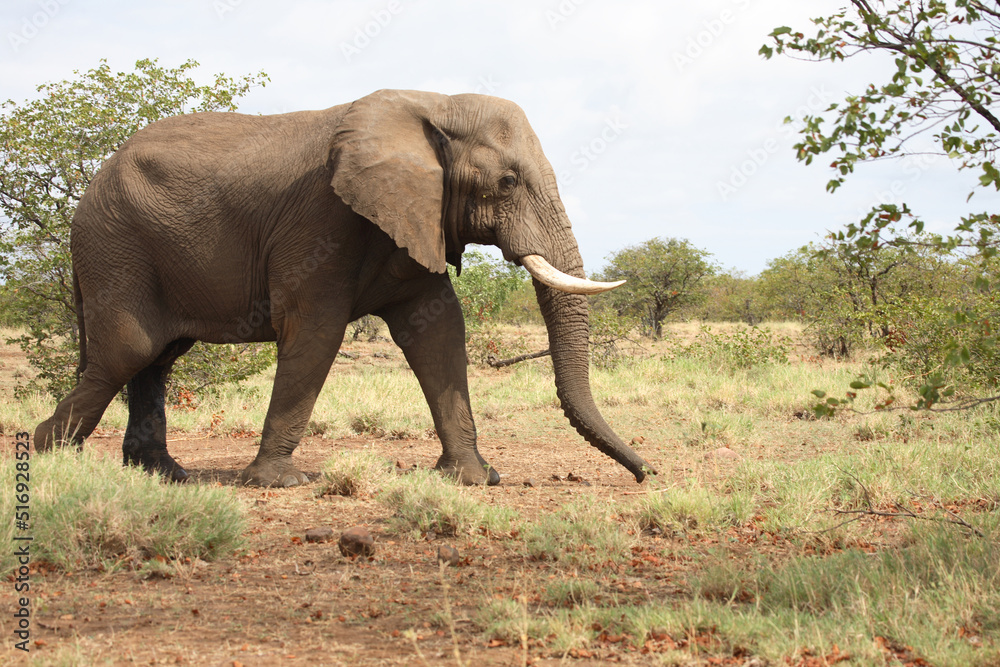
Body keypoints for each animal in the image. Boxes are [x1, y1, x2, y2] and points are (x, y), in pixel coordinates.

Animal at [33, 89, 656, 488]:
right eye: (506, 182)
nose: (646, 472)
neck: (433, 104)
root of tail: (88, 192)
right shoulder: (321, 221)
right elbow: (315, 330)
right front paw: (280, 484)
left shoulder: (415, 217)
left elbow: (438, 333)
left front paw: (476, 480)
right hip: (117, 246)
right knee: (129, 351)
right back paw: (46, 456)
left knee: (157, 358)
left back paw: (165, 475)